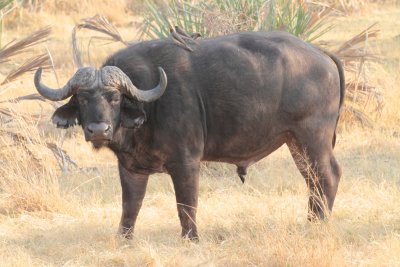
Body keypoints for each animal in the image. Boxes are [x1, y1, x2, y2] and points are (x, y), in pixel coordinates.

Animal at [34, 30, 344, 242]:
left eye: (114, 98)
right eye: (83, 98)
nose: (99, 129)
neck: (150, 106)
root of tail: (321, 54)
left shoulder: (186, 163)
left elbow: (185, 202)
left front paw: (190, 238)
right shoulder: (130, 168)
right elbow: (130, 205)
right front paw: (124, 238)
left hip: (313, 137)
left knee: (327, 175)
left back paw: (320, 222)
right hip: (295, 141)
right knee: (312, 180)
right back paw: (311, 219)